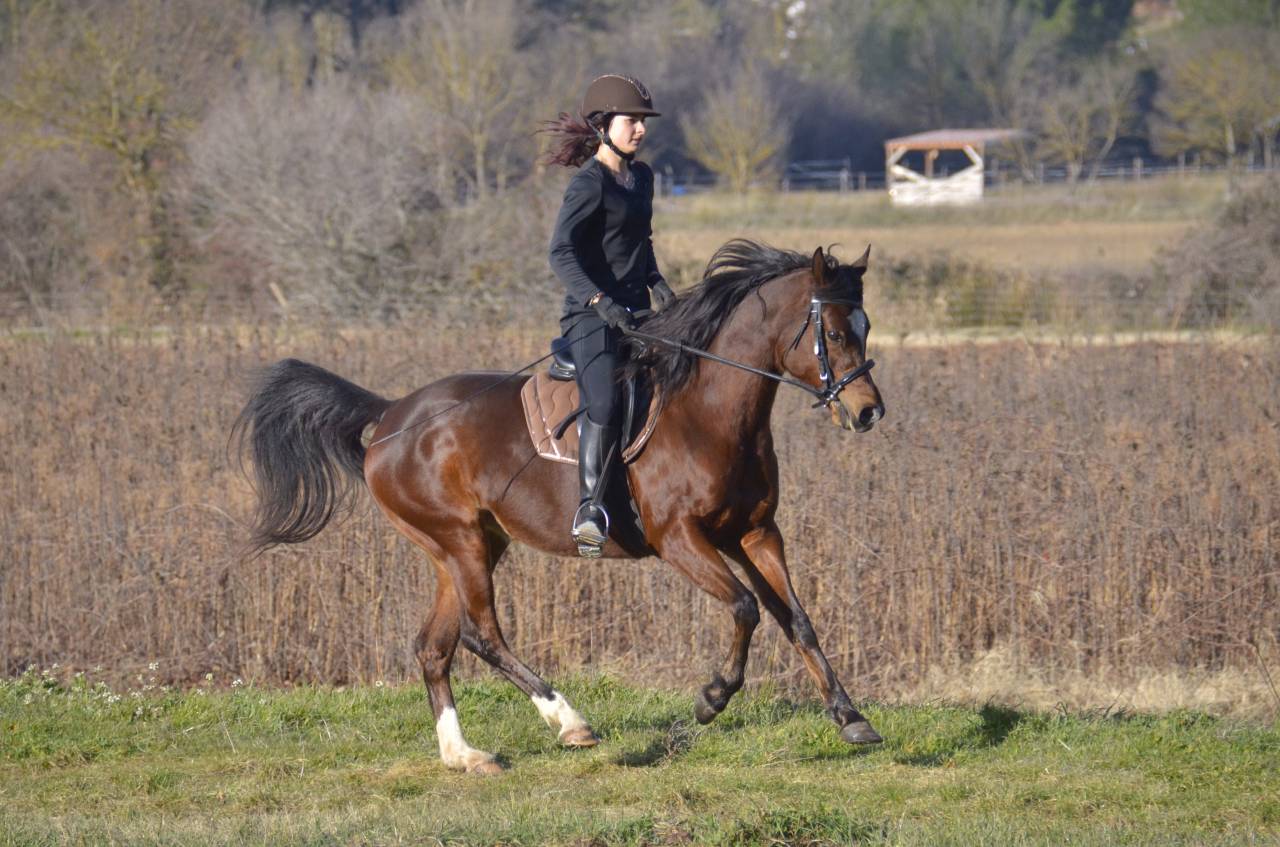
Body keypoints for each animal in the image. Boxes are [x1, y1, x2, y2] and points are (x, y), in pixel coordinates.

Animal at [233, 239, 886, 774]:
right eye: (833, 331)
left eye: (866, 325)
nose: (868, 412)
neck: (710, 413)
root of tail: (390, 415)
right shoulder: (680, 538)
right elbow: (747, 608)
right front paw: (712, 698)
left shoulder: (755, 533)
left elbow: (797, 619)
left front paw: (850, 717)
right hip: (461, 542)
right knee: (481, 636)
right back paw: (569, 721)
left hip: (466, 546)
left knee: (434, 647)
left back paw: (464, 755)